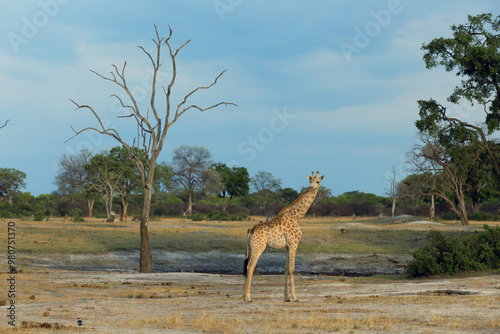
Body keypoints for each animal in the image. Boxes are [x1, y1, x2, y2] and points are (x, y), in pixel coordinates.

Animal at [243, 171, 324, 302]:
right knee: (250, 266)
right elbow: (292, 268)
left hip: (251, 247)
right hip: (259, 246)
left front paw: (286, 297)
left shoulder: (287, 245)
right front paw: (295, 297)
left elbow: (286, 268)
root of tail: (251, 230)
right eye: (310, 181)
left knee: (247, 265)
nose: (311, 188)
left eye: (317, 181)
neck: (297, 217)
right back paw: (248, 297)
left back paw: (244, 295)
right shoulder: (294, 242)